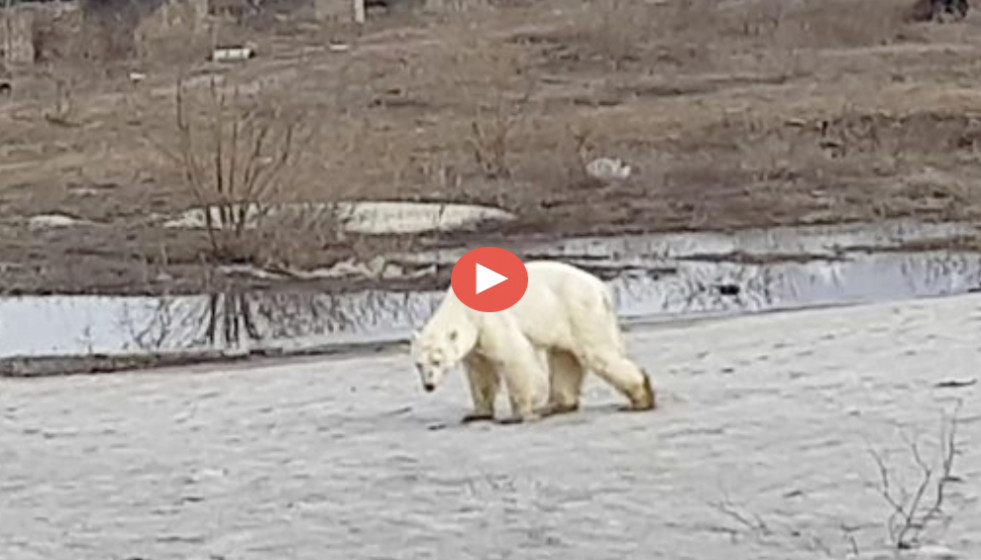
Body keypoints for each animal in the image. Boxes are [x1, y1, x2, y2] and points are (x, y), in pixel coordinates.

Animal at [410, 260, 657, 424]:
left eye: (437, 360)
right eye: (419, 364)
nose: (428, 386)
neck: (464, 310)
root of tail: (600, 288)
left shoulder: (492, 321)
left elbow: (515, 358)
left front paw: (518, 414)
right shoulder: (476, 340)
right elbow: (481, 372)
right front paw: (477, 413)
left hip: (579, 310)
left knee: (598, 354)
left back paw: (641, 399)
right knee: (565, 357)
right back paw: (557, 404)